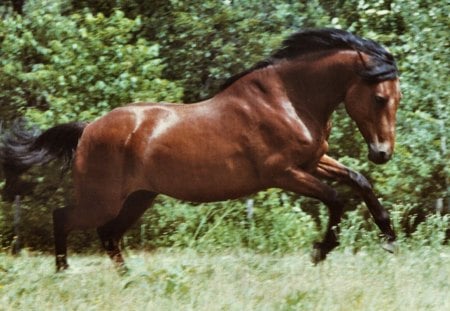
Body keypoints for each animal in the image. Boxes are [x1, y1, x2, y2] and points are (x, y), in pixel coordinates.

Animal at [0, 29, 400, 272]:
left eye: (398, 98)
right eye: (380, 98)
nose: (382, 153)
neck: (289, 99)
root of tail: (87, 129)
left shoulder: (313, 161)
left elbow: (359, 181)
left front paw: (390, 238)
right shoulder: (283, 173)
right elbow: (336, 198)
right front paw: (320, 251)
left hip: (138, 198)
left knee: (108, 235)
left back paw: (127, 278)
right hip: (103, 199)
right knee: (64, 218)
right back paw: (64, 272)